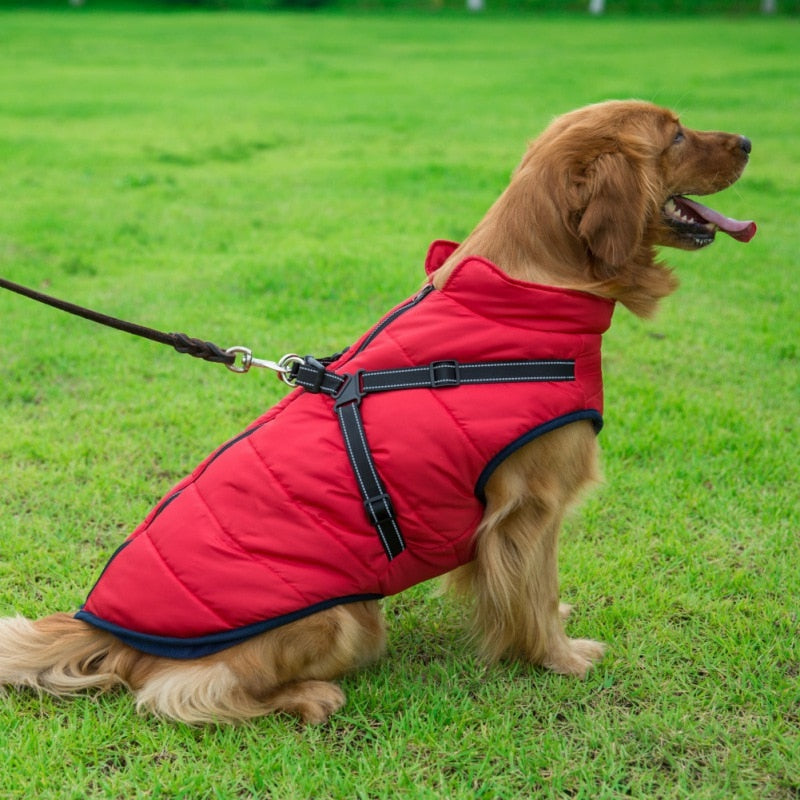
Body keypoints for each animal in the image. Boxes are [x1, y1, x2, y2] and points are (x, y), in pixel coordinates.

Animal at [0, 101, 756, 724]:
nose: (750, 139)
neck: (526, 289)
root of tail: (102, 627)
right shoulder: (530, 507)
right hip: (347, 618)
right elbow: (535, 594)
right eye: (677, 134)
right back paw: (310, 697)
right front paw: (560, 657)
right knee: (180, 693)